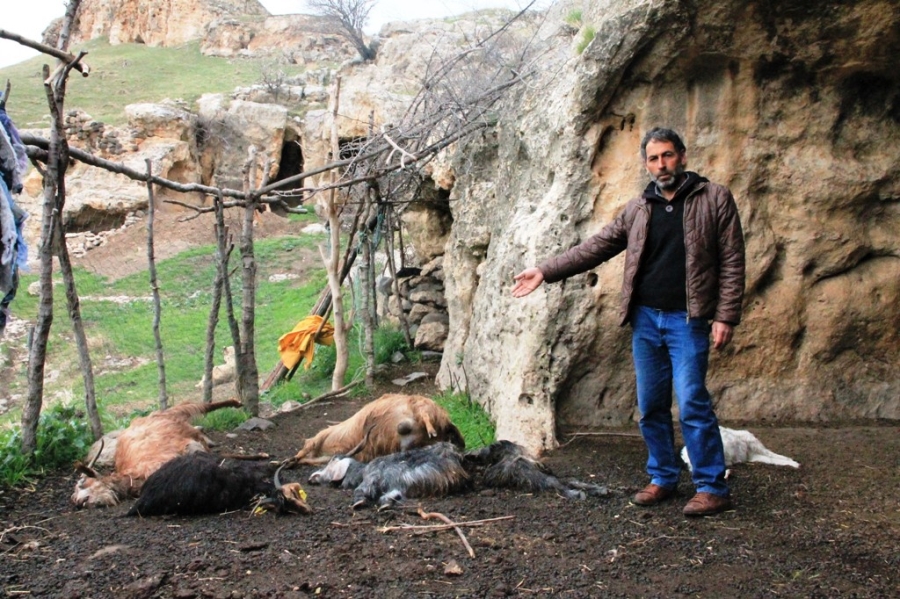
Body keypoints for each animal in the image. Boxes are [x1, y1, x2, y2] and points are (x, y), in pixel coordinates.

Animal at [72, 400, 243, 508]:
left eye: (83, 483)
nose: (77, 501)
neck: (135, 475)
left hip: (174, 412)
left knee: (198, 405)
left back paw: (236, 403)